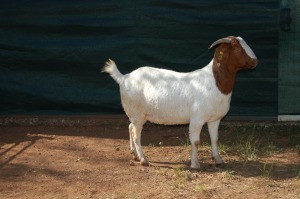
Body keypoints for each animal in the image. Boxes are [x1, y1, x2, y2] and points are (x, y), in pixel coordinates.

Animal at [102, 36, 256, 169]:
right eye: (237, 48)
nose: (255, 61)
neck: (214, 82)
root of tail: (124, 78)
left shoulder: (215, 119)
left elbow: (215, 139)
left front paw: (218, 160)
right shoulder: (197, 118)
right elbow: (195, 141)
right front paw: (195, 165)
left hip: (136, 114)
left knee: (130, 127)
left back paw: (134, 154)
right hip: (137, 112)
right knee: (136, 134)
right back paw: (143, 159)